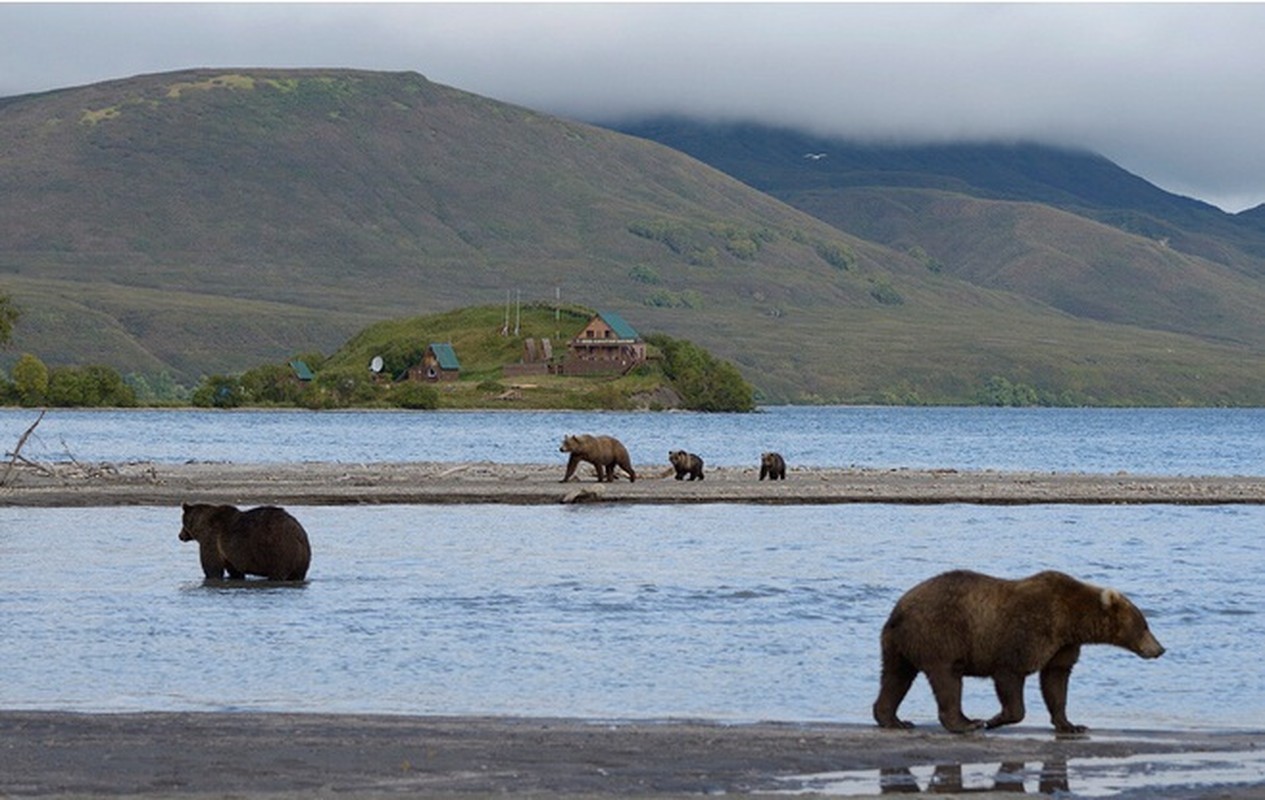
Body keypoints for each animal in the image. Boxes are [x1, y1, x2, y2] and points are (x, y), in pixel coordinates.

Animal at [179, 501, 312, 582]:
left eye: (182, 522)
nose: (180, 535)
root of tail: (299, 534)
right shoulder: (230, 554)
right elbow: (235, 571)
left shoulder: (211, 539)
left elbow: (212, 568)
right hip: (302, 560)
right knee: (298, 575)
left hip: (279, 550)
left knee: (277, 572)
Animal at [875, 569, 1158, 729]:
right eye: (1144, 625)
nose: (1159, 649)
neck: (1070, 620)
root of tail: (898, 609)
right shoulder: (1027, 632)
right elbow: (1011, 674)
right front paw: (995, 719)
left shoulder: (1063, 645)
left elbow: (1056, 680)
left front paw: (1071, 725)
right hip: (940, 634)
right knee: (947, 678)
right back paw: (966, 723)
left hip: (899, 644)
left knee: (896, 677)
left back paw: (894, 720)